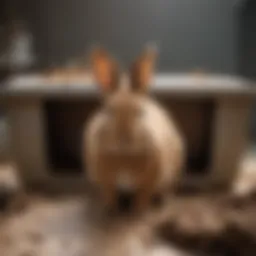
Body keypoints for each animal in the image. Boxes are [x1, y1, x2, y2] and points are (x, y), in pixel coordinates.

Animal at [83, 46, 185, 214]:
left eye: (140, 112)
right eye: (108, 111)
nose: (124, 139)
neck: (124, 155)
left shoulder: (150, 178)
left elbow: (143, 194)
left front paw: (138, 211)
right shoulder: (105, 179)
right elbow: (109, 192)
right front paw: (110, 209)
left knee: (168, 189)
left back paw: (163, 201)